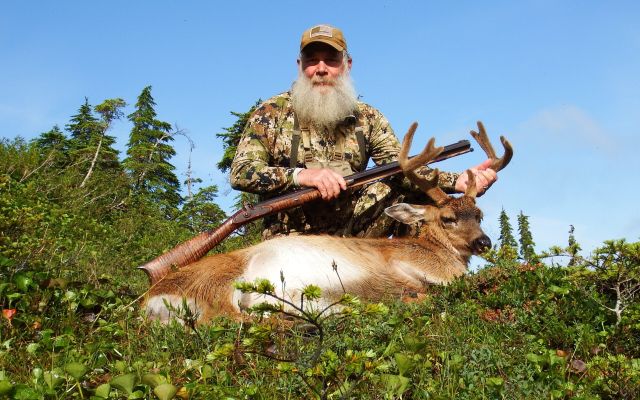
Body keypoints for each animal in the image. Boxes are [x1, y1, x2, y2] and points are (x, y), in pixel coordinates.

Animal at [143, 122, 513, 323]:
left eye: (480, 215)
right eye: (448, 218)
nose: (484, 242)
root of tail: (148, 300)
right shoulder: (414, 267)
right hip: (218, 282)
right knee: (224, 319)